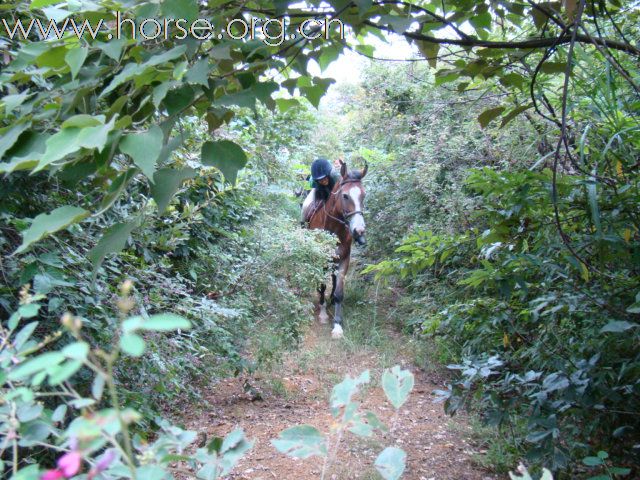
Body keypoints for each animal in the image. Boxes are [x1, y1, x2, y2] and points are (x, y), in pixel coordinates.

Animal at [306, 160, 370, 338]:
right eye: (345, 196)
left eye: (363, 195)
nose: (359, 231)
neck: (333, 229)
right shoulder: (321, 261)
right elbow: (322, 285)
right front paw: (322, 313)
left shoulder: (344, 259)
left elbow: (339, 291)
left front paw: (337, 325)